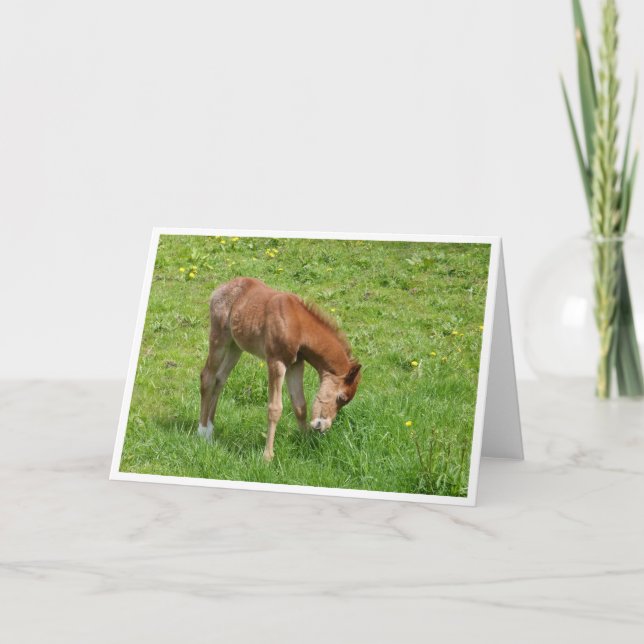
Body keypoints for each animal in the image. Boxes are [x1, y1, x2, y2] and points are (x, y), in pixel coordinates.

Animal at [198, 277, 362, 461]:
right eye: (341, 397)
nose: (322, 426)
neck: (298, 325)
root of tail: (220, 289)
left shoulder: (296, 365)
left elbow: (300, 405)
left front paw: (305, 443)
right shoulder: (276, 362)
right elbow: (275, 408)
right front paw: (267, 456)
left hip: (235, 347)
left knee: (220, 379)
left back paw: (210, 429)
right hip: (219, 339)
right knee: (207, 377)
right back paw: (202, 432)